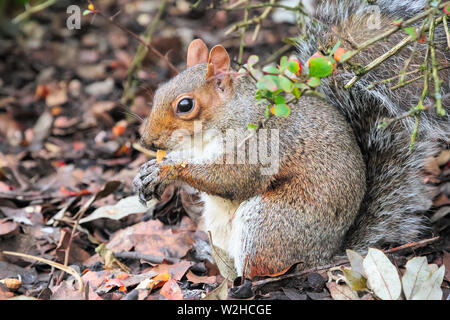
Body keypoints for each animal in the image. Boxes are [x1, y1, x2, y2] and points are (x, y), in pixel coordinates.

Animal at [134, 0, 450, 278]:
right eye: (159, 91)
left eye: (185, 105)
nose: (147, 140)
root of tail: (327, 255)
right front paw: (148, 171)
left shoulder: (258, 144)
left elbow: (233, 178)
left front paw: (167, 169)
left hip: (268, 222)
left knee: (260, 268)